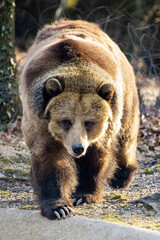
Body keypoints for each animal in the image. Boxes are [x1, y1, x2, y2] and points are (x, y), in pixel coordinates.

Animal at [19, 19, 139, 220]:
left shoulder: (105, 124)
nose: (78, 148)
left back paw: (122, 176)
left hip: (125, 93)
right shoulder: (40, 117)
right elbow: (49, 157)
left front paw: (84, 194)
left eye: (89, 122)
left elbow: (97, 155)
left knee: (126, 137)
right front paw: (59, 207)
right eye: (65, 121)